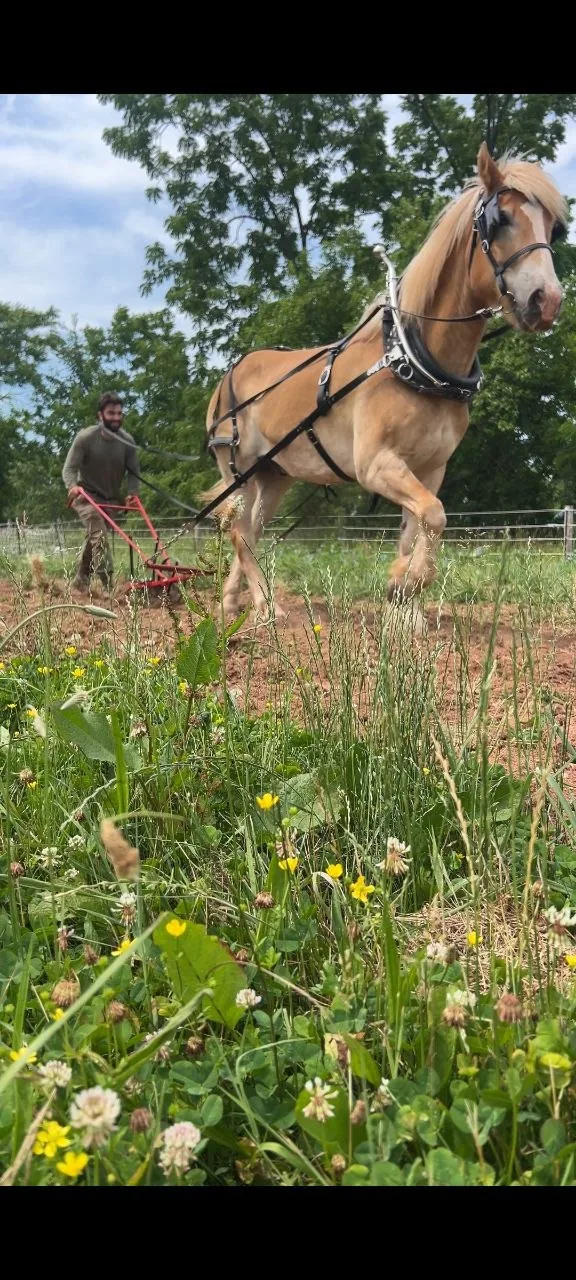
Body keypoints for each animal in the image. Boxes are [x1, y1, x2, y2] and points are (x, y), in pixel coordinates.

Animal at [202, 143, 567, 626]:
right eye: (500, 219)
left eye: (554, 228)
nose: (548, 301)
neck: (415, 362)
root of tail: (229, 376)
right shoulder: (375, 464)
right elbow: (435, 515)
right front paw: (402, 582)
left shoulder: (431, 468)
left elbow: (419, 527)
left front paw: (405, 606)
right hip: (236, 470)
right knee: (240, 531)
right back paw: (266, 606)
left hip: (274, 476)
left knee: (249, 531)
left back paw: (230, 604)